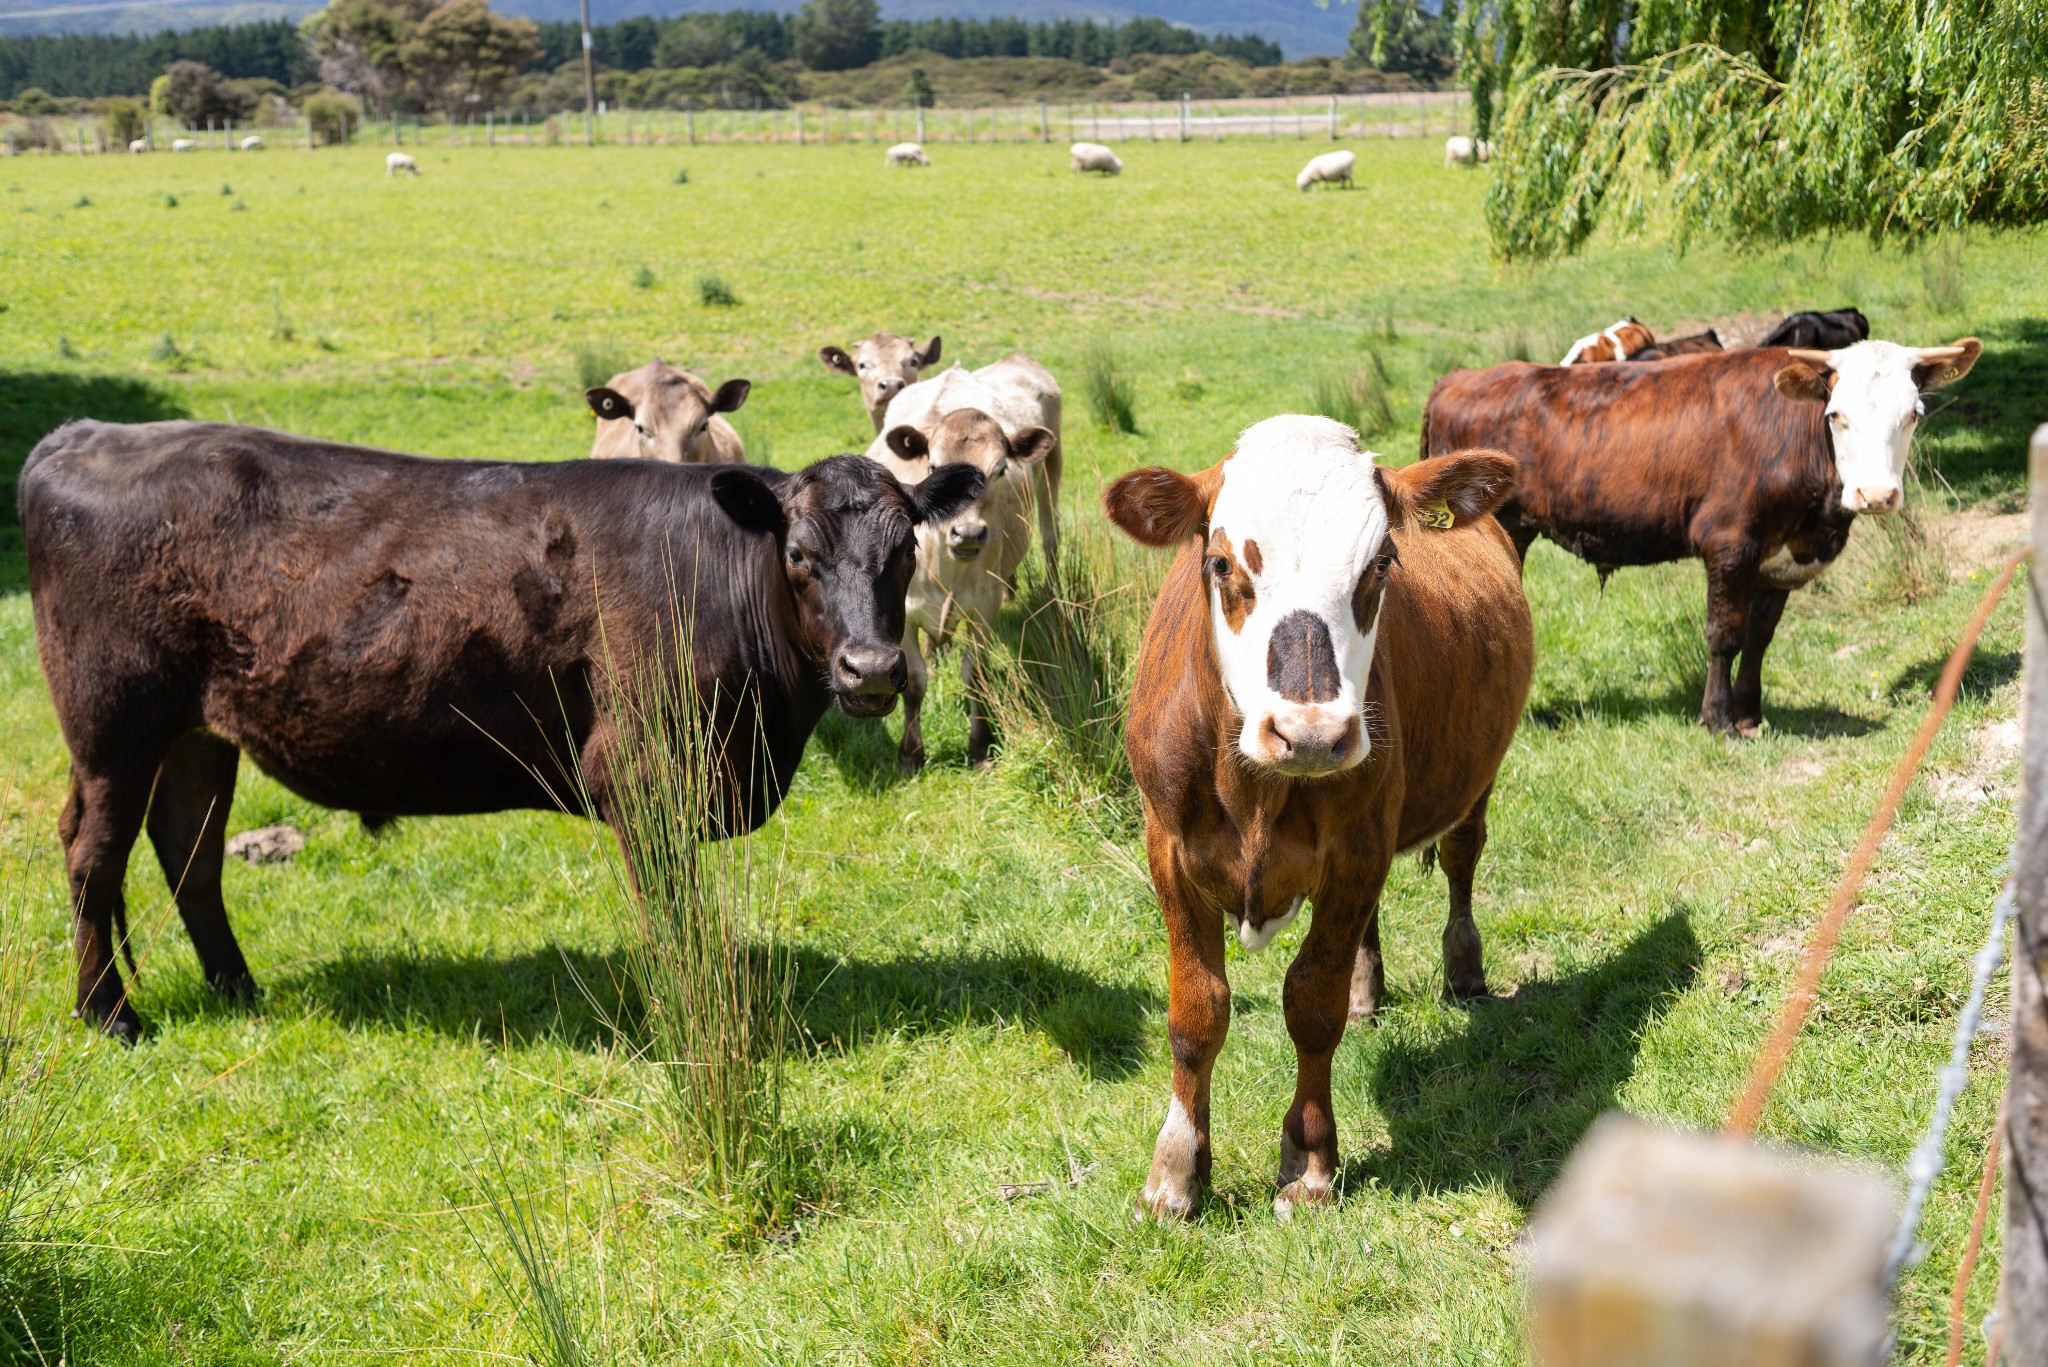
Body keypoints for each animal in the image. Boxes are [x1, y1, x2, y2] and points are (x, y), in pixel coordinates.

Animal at [22, 418, 983, 1037]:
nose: (871, 670)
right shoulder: (642, 772)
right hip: (113, 727)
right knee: (93, 855)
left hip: (196, 732)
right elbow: (672, 911)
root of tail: (84, 433)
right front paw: (695, 1010)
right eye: (799, 555)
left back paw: (238, 989)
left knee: (190, 850)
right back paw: (109, 1015)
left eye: (905, 550)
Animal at [1105, 413, 1540, 1221]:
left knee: (1461, 858)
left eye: (1382, 564)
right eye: (1220, 563)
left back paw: (1462, 966)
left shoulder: (1357, 850)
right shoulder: (1167, 850)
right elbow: (1196, 1011)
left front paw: (1309, 1160)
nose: (1310, 732)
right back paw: (1370, 990)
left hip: (1474, 781)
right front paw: (1176, 1169)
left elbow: (1311, 1001)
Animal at [1425, 336, 1982, 737]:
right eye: (1835, 415)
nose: (1876, 494)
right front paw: (1718, 720)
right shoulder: (1730, 542)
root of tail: (1459, 378)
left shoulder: (1778, 560)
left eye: (1913, 414)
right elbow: (1724, 634)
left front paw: (1751, 715)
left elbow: (1759, 636)